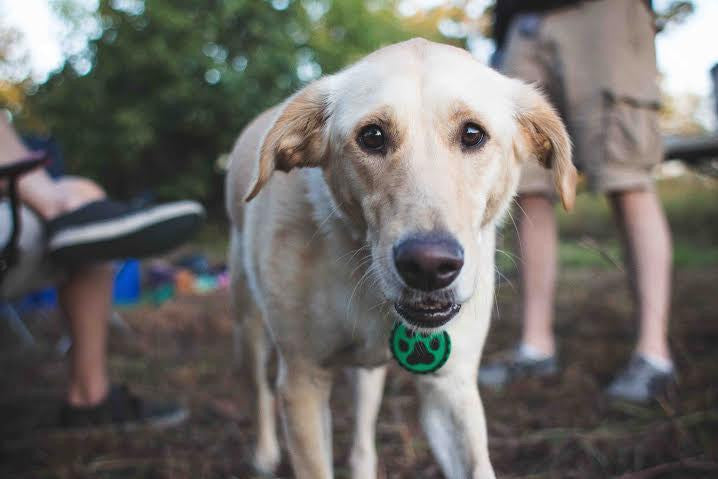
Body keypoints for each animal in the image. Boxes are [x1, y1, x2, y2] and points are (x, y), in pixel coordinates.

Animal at [228, 38, 576, 479]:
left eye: (473, 134)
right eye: (372, 136)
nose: (429, 265)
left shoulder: (451, 387)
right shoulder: (303, 381)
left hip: (367, 374)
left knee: (362, 436)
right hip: (249, 323)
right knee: (259, 388)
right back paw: (264, 453)